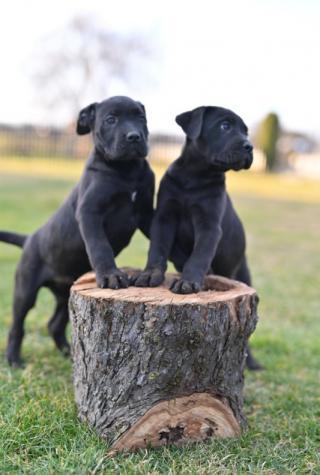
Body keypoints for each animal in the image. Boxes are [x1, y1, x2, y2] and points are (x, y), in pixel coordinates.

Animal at [0, 95, 155, 366]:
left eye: (141, 117)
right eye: (110, 119)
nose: (134, 136)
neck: (127, 170)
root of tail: (28, 239)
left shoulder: (146, 212)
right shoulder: (89, 213)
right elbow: (100, 246)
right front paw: (111, 275)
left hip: (65, 293)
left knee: (54, 323)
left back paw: (68, 353)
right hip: (25, 288)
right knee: (17, 324)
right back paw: (14, 359)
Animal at [132, 106, 262, 370]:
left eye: (246, 131)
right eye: (225, 126)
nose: (249, 146)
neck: (195, 176)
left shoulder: (209, 226)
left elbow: (199, 255)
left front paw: (189, 282)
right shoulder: (164, 218)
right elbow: (158, 249)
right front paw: (150, 274)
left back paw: (252, 362)